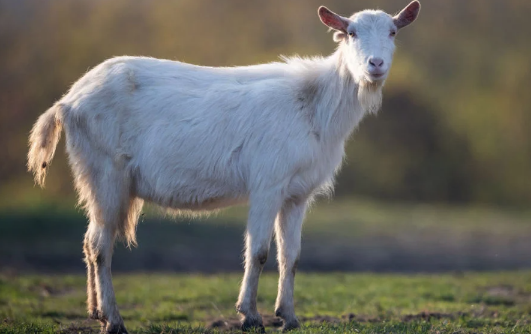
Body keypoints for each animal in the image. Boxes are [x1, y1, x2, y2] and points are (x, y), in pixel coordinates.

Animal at [28, 1, 420, 332]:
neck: (315, 105)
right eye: (351, 32)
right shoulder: (267, 183)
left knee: (89, 241)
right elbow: (259, 252)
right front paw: (250, 316)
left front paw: (289, 317)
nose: (375, 64)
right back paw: (113, 320)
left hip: (95, 178)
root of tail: (68, 101)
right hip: (104, 172)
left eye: (393, 32)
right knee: (99, 245)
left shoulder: (297, 194)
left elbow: (290, 256)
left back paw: (95, 312)